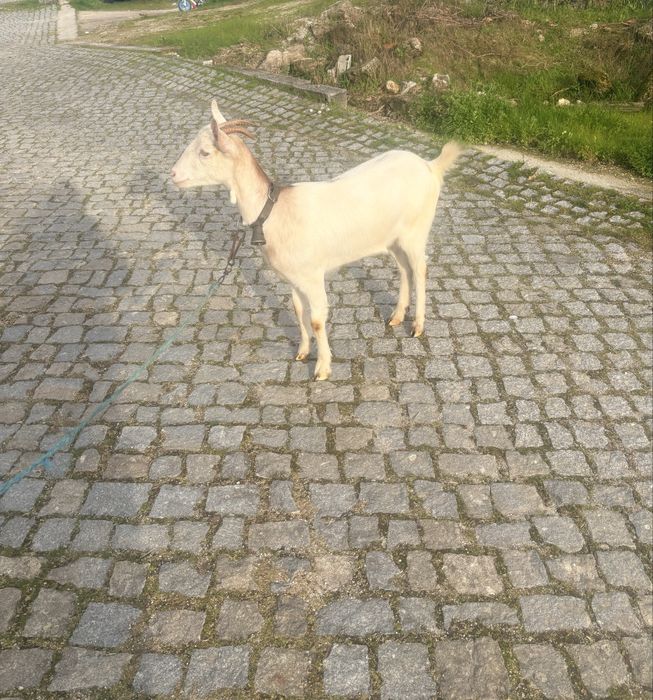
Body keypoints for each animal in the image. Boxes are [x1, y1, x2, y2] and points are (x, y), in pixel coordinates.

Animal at [171, 100, 461, 380]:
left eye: (205, 152)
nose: (173, 174)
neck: (275, 211)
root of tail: (430, 166)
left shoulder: (312, 275)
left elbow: (317, 320)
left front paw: (322, 368)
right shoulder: (293, 278)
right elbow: (299, 312)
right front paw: (302, 352)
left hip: (416, 231)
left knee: (420, 269)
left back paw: (418, 325)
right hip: (393, 238)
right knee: (403, 269)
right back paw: (397, 316)